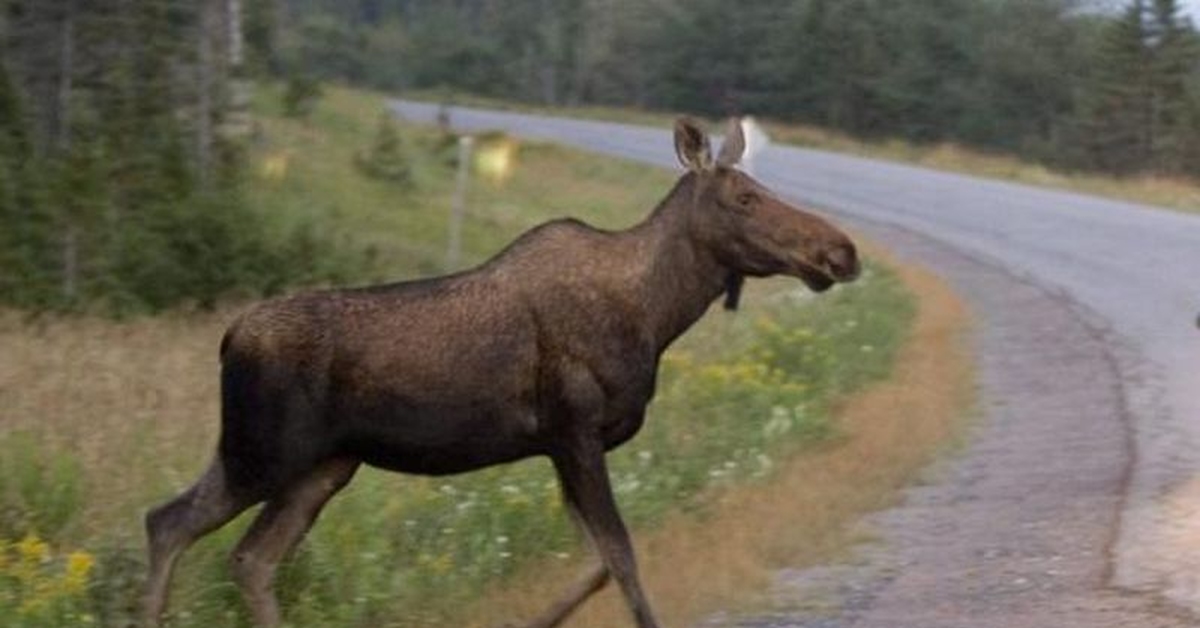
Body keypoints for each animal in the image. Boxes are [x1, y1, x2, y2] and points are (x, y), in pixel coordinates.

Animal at [140, 115, 859, 624]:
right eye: (744, 197)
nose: (842, 250)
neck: (657, 314)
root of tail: (229, 337)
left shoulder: (562, 445)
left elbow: (595, 564)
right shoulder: (575, 429)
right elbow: (622, 558)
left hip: (319, 466)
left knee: (250, 558)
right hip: (263, 453)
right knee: (169, 524)